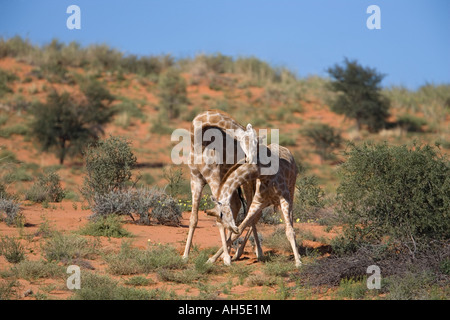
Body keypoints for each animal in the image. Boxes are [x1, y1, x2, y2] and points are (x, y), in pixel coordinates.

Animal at [182, 110, 260, 264]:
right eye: (250, 140)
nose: (252, 159)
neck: (199, 141)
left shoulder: (214, 178)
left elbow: (219, 219)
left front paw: (227, 259)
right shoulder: (196, 179)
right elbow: (194, 218)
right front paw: (185, 255)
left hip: (247, 182)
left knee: (251, 212)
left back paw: (251, 252)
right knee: (237, 205)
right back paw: (232, 252)